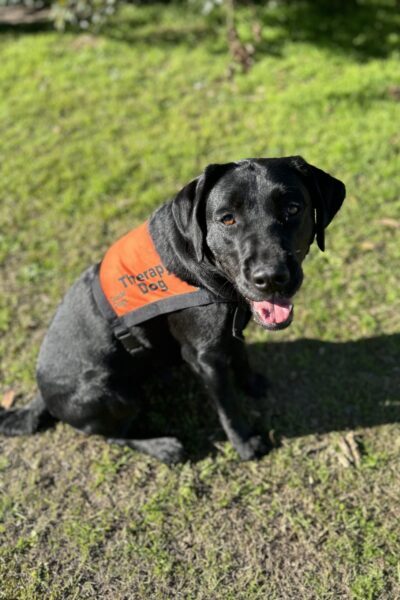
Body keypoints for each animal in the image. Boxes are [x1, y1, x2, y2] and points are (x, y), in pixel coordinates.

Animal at [0, 157, 344, 462]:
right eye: (227, 218)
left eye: (293, 209)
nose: (270, 278)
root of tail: (40, 396)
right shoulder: (204, 357)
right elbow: (228, 408)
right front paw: (245, 444)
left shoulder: (229, 334)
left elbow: (241, 357)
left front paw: (252, 383)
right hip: (113, 394)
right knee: (112, 435)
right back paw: (163, 447)